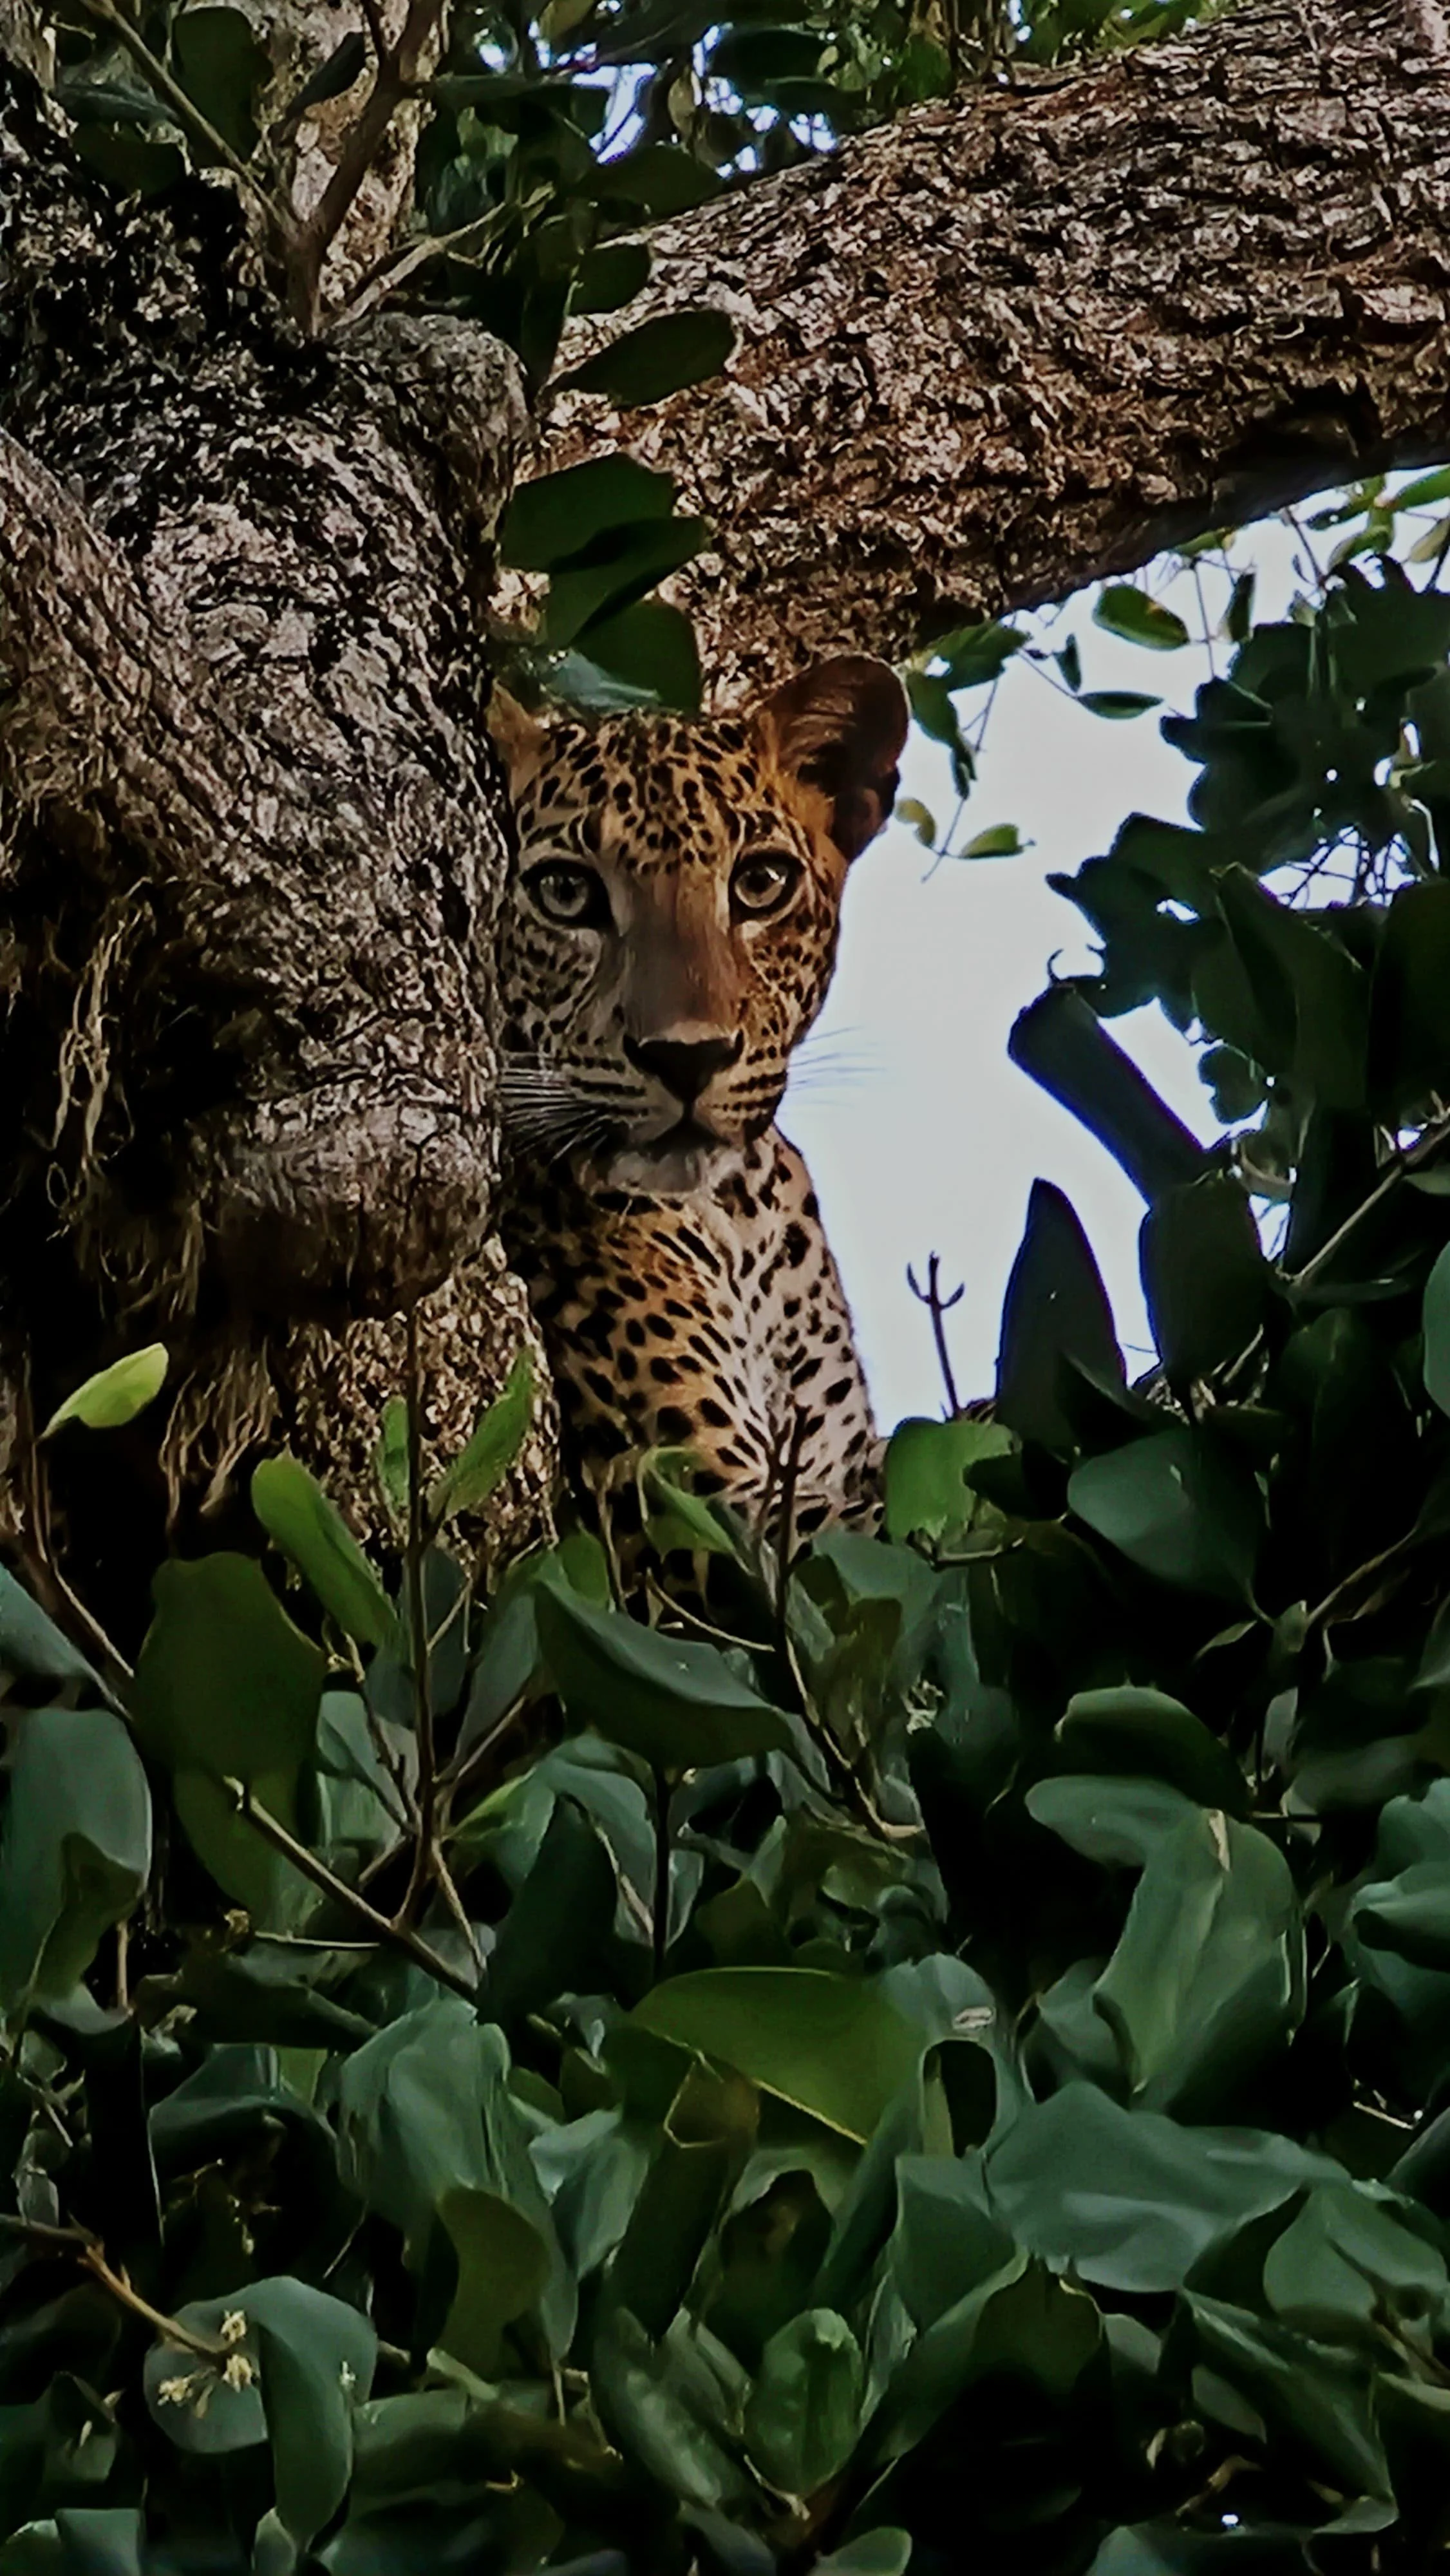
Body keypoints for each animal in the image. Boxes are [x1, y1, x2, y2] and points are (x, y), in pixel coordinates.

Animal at [488, 654, 909, 1554]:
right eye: (564, 892)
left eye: (759, 884)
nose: (688, 1056)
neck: (734, 1214)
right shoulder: (681, 1491)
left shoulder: (836, 1451)